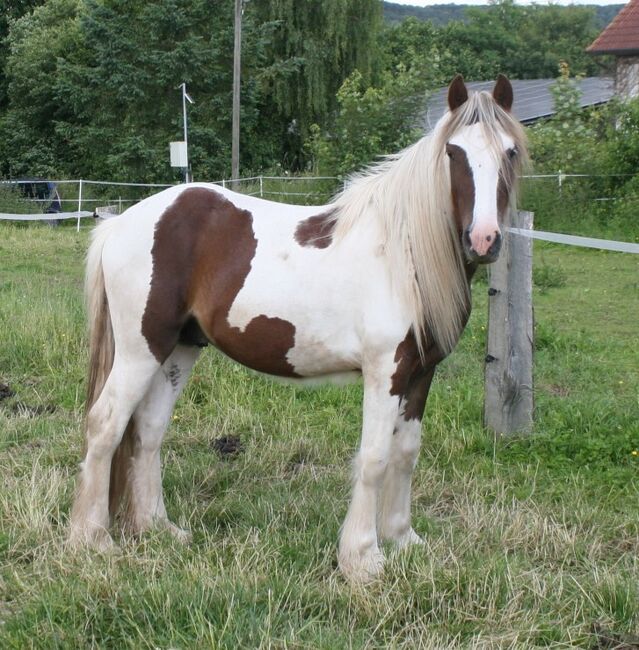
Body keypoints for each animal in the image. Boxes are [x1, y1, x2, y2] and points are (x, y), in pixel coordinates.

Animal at [71, 77, 528, 584]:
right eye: (453, 152)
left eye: (510, 151)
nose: (483, 240)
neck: (401, 253)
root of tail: (120, 223)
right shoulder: (384, 372)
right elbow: (374, 457)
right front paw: (363, 559)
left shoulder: (421, 372)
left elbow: (406, 452)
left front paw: (402, 539)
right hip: (140, 349)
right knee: (106, 424)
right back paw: (93, 539)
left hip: (180, 349)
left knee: (149, 429)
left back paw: (158, 528)